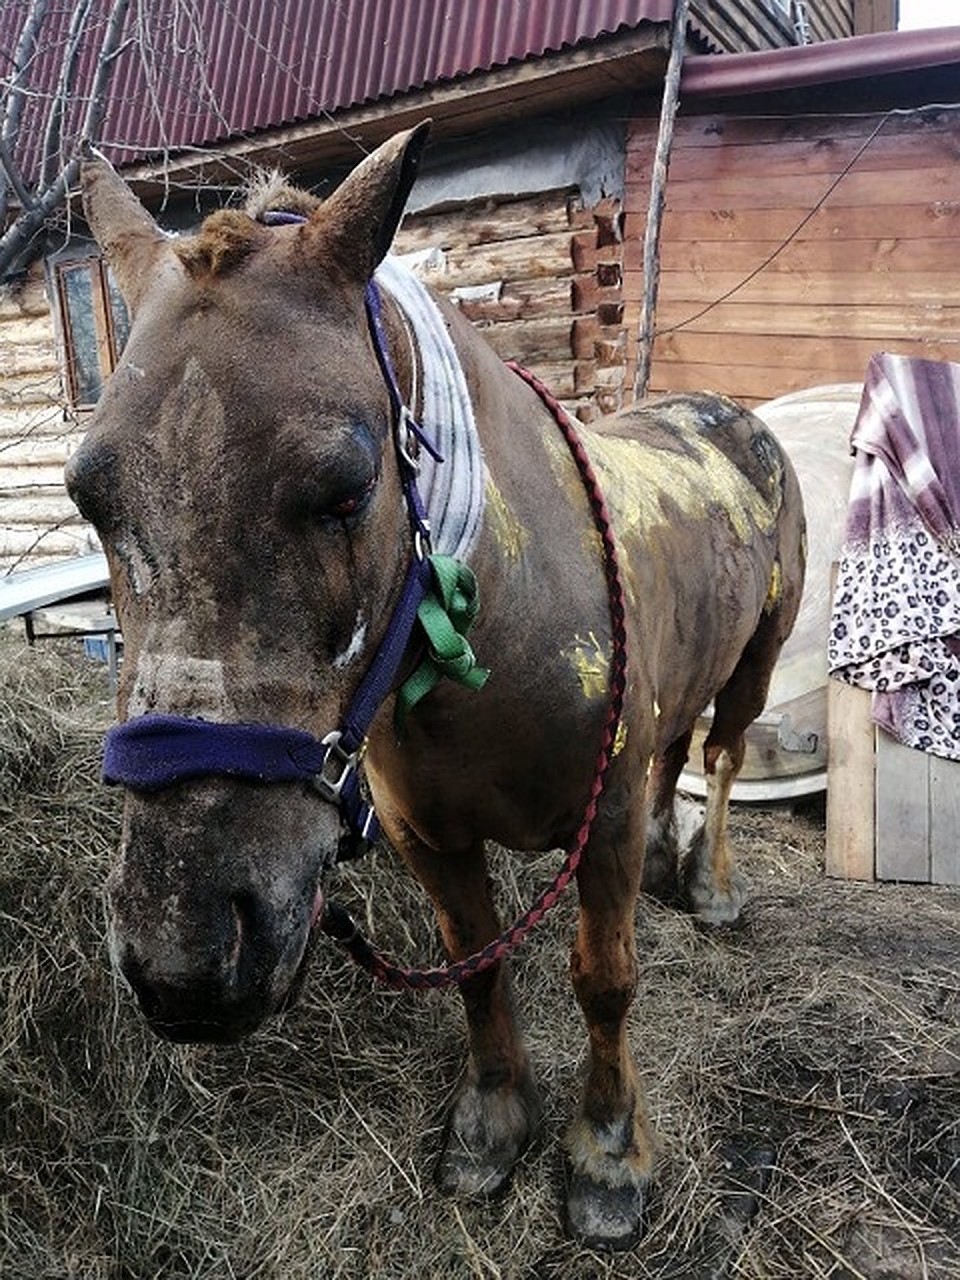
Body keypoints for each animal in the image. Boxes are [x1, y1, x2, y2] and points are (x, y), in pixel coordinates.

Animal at [67, 124, 803, 1244]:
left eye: (347, 487)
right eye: (87, 497)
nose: (185, 954)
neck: (487, 637)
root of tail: (730, 419)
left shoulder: (602, 823)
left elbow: (604, 980)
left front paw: (608, 1154)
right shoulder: (431, 839)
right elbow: (478, 961)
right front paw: (494, 1124)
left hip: (757, 660)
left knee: (718, 757)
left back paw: (710, 883)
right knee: (680, 748)